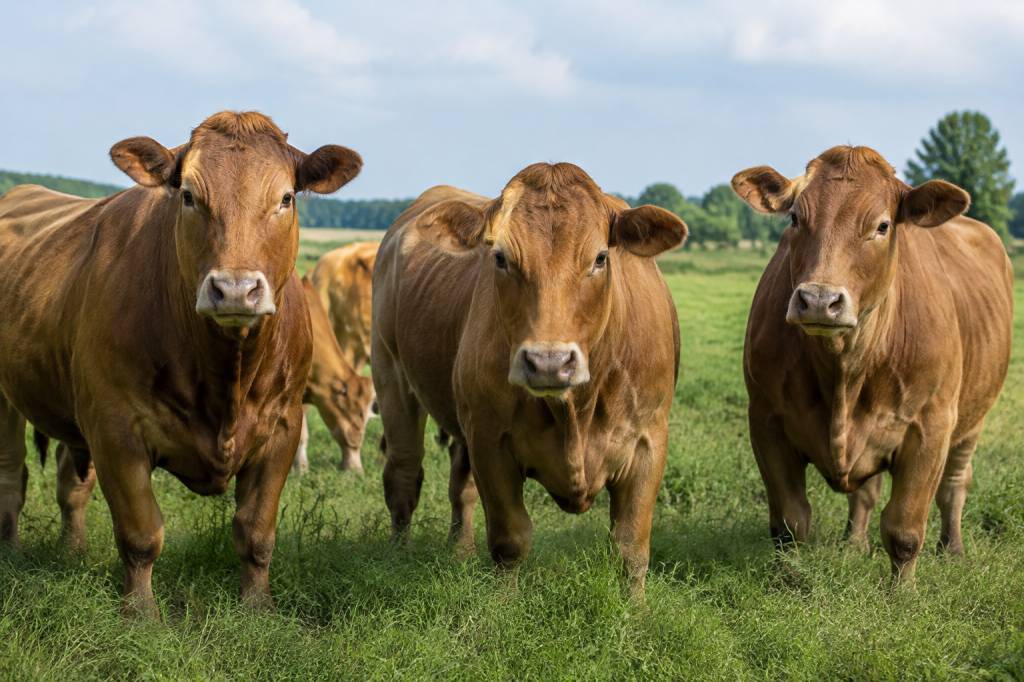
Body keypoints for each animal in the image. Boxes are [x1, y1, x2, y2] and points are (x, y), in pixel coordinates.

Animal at [0, 111, 362, 616]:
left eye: (286, 198)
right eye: (189, 195)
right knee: (12, 474)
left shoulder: (283, 425)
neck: (226, 374)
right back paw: (12, 550)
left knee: (71, 483)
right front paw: (140, 613)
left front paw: (257, 607)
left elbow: (256, 531)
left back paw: (73, 552)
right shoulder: (115, 426)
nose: (234, 290)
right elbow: (141, 533)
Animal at [372, 164, 687, 595]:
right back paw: (397, 556)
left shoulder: (648, 439)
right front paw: (503, 605)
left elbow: (631, 545)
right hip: (391, 377)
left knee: (459, 485)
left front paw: (636, 610)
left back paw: (460, 552)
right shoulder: (490, 441)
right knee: (403, 475)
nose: (548, 362)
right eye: (501, 258)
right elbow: (511, 540)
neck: (574, 411)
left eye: (600, 258)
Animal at [733, 145, 1012, 584]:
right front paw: (789, 579)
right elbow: (791, 522)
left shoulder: (930, 426)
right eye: (795, 218)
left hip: (972, 420)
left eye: (882, 226)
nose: (818, 300)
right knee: (866, 492)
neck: (845, 368)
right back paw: (853, 543)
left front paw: (903, 592)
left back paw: (953, 550)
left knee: (954, 485)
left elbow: (904, 529)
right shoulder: (765, 419)